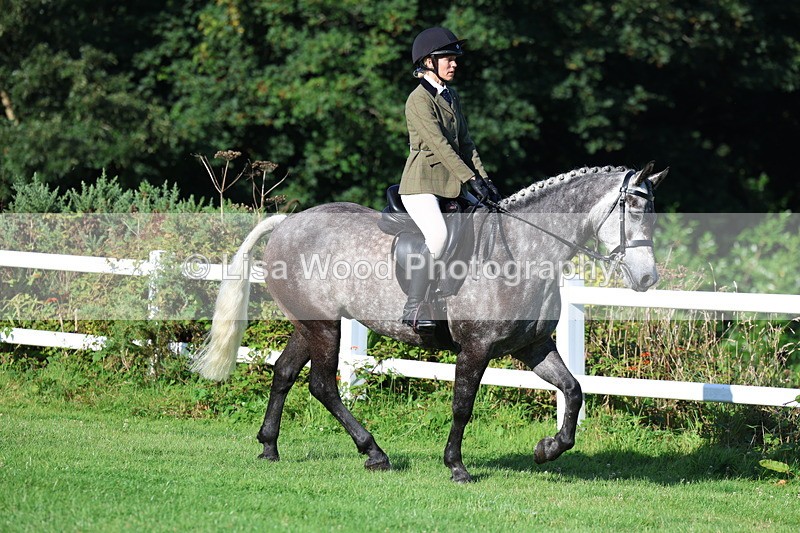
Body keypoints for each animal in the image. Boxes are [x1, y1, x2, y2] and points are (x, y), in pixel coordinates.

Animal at [192, 162, 668, 482]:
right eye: (631, 208)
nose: (648, 279)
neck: (521, 251)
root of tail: (288, 224)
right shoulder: (476, 349)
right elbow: (462, 407)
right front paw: (456, 467)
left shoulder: (532, 347)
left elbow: (573, 390)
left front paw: (546, 449)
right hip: (325, 326)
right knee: (323, 385)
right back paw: (374, 453)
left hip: (310, 325)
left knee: (285, 372)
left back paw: (269, 447)